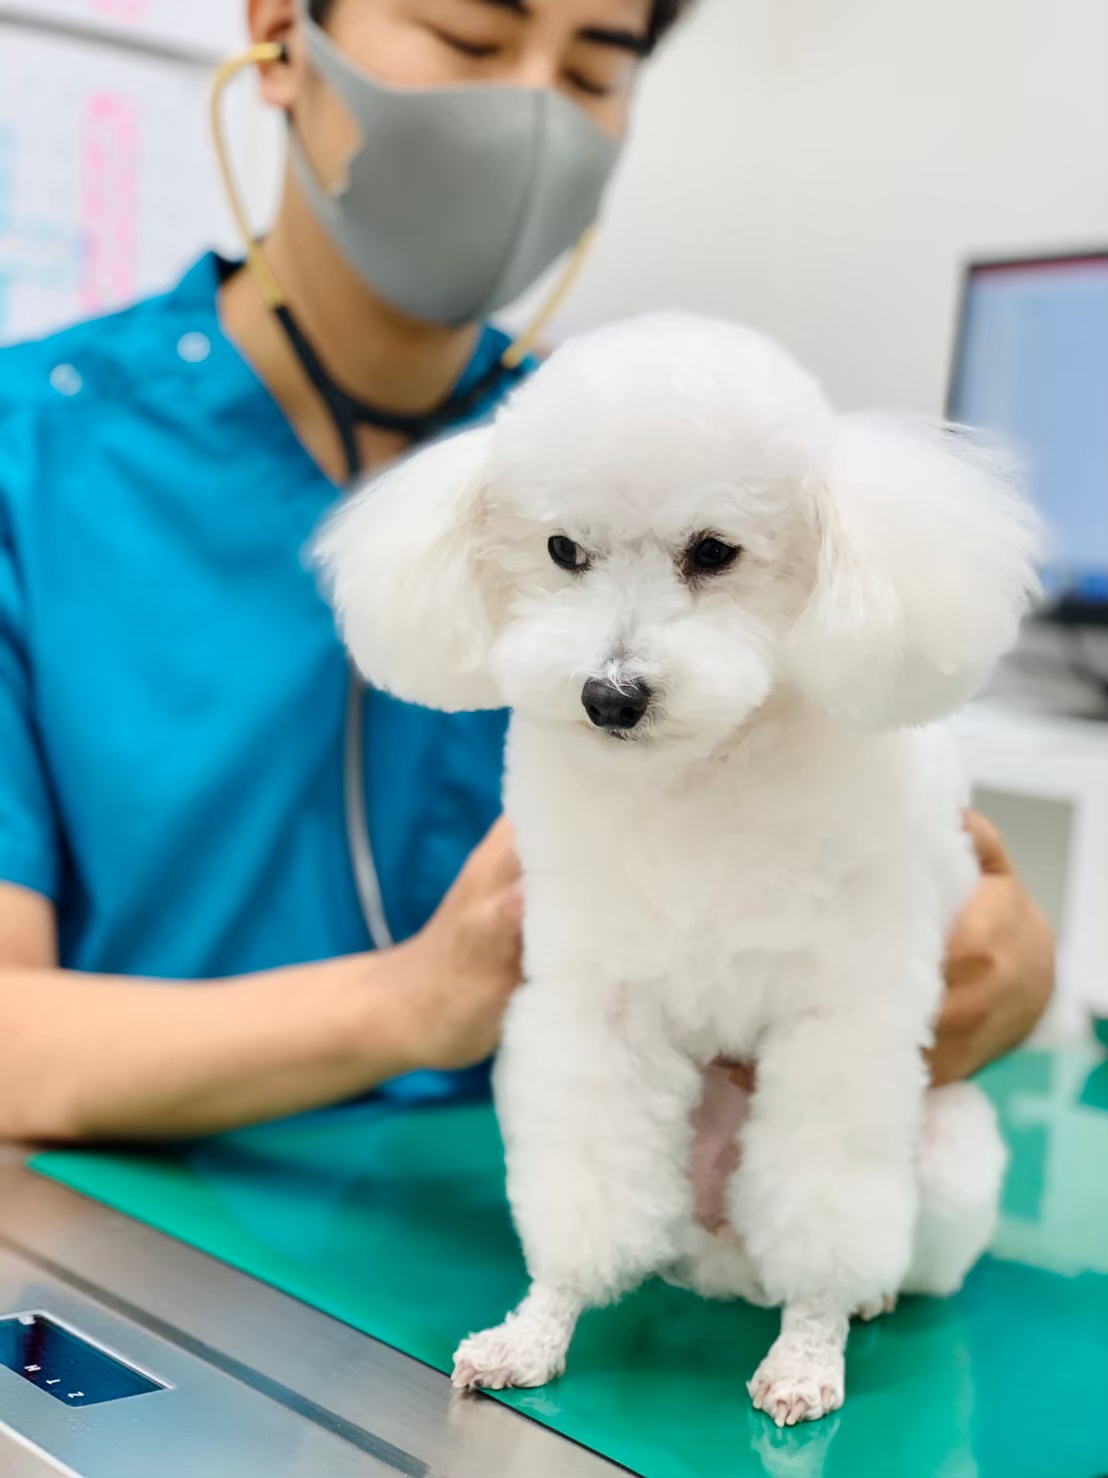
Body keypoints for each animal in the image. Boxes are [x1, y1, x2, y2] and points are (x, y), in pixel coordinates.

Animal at [319, 317, 1040, 1424]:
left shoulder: (839, 1024)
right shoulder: (597, 1008)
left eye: (713, 552)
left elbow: (825, 1209)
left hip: (949, 1150)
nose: (610, 695)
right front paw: (537, 1329)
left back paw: (860, 1298)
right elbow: (583, 1196)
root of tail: (725, 1260)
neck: (698, 776)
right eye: (562, 550)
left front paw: (809, 1350)